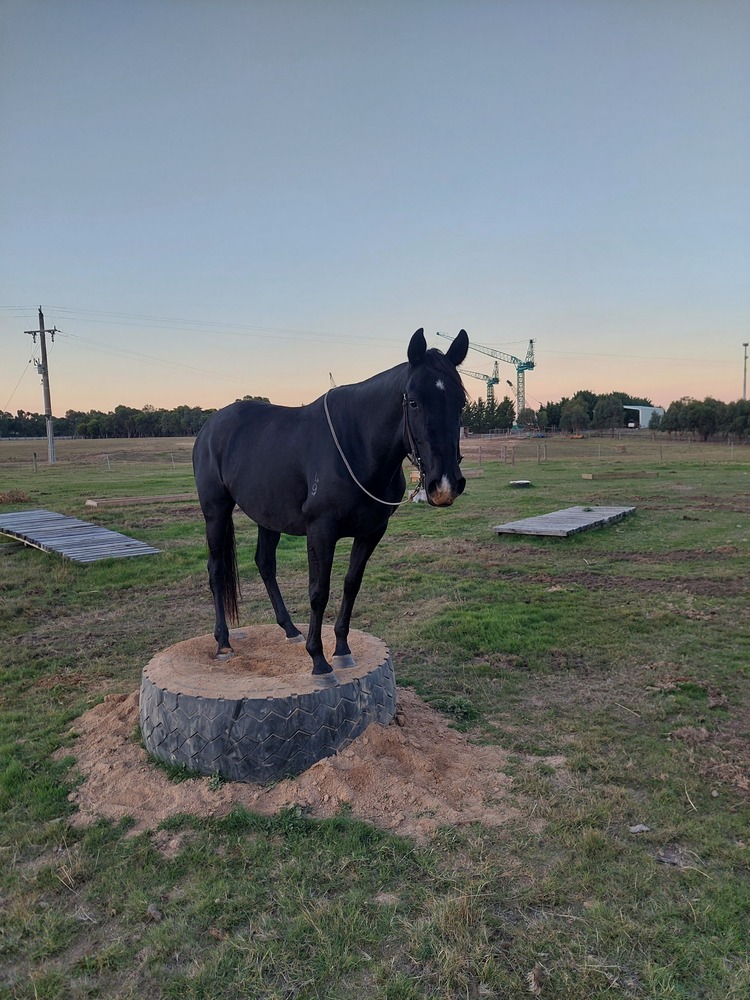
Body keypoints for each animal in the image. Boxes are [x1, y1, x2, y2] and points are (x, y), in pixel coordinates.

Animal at [192, 328, 469, 684]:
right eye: (414, 401)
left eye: (461, 402)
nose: (444, 484)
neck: (357, 446)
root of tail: (210, 427)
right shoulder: (321, 531)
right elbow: (318, 591)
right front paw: (319, 661)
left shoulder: (371, 532)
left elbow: (351, 585)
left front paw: (342, 649)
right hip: (216, 510)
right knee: (216, 569)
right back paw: (224, 642)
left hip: (267, 516)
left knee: (265, 563)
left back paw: (290, 629)